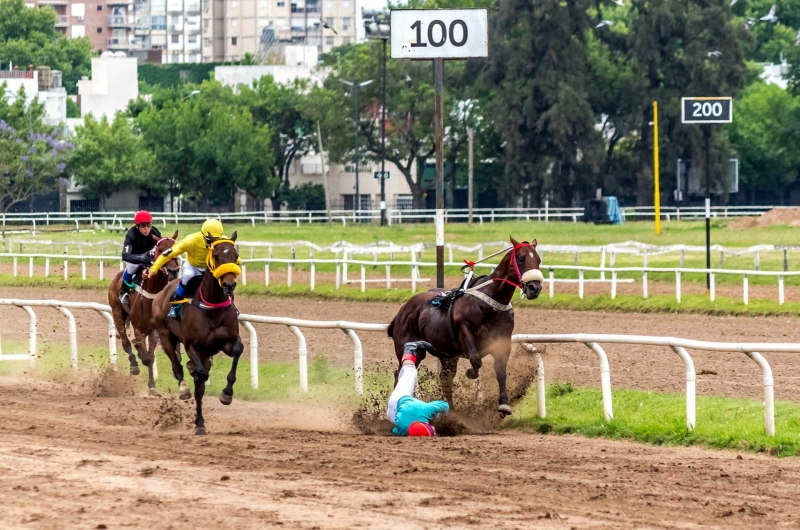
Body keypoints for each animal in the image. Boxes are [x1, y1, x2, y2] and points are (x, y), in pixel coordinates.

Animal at [107, 231, 179, 392]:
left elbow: (151, 357)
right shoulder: (138, 327)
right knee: (125, 342)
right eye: (161, 251)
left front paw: (152, 386)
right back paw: (134, 364)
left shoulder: (155, 330)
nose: (174, 271)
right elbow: (146, 358)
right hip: (117, 313)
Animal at [152, 234, 242, 434]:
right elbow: (200, 376)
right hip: (165, 335)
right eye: (216, 255)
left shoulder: (228, 342)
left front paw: (227, 394)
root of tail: (162, 292)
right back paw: (186, 394)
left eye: (235, 255)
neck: (212, 304)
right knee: (177, 367)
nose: (229, 284)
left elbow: (238, 350)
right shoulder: (193, 346)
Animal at [388, 237, 544, 414]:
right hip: (409, 347)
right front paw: (471, 372)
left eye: (538, 260)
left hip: (447, 356)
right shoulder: (465, 330)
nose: (534, 287)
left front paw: (504, 404)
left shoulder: (502, 341)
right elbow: (476, 359)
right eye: (521, 258)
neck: (491, 303)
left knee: (445, 379)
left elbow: (501, 371)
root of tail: (403, 310)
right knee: (400, 373)